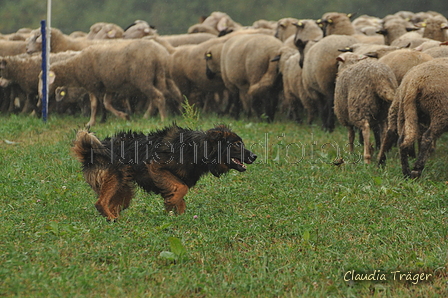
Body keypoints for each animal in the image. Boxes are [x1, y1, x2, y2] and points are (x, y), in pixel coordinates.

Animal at [72, 124, 256, 220]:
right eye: (237, 144)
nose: (254, 156)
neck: (198, 148)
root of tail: (89, 152)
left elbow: (181, 199)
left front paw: (177, 215)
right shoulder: (157, 166)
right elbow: (181, 189)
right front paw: (170, 202)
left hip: (123, 189)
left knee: (114, 204)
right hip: (114, 177)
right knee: (100, 203)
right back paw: (111, 218)